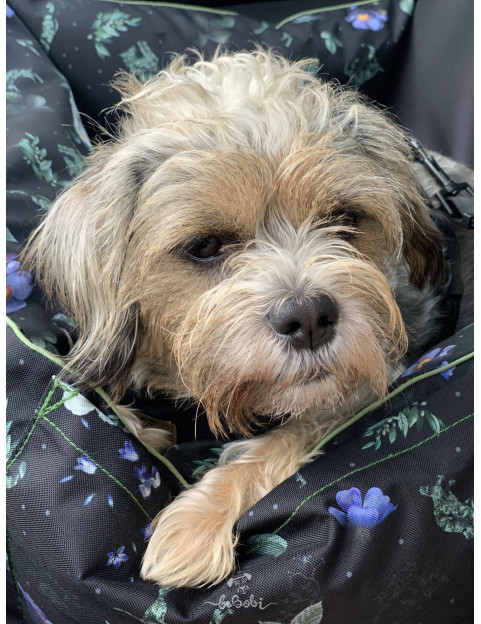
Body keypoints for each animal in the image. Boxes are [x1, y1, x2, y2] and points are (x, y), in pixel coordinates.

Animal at [22, 49, 473, 588]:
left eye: (344, 218)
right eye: (205, 246)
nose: (310, 317)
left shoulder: (363, 380)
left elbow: (281, 440)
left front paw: (197, 522)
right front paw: (137, 425)